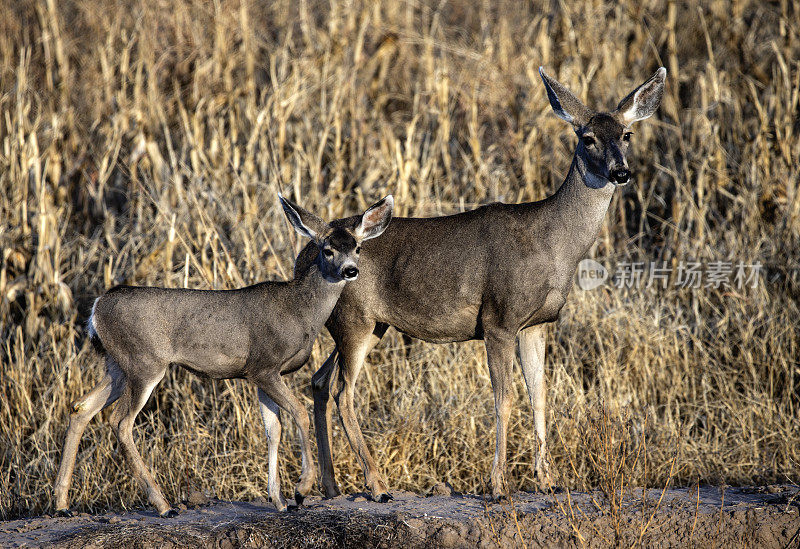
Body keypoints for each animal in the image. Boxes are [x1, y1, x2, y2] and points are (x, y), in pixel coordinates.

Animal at [51, 193, 392, 512]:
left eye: (357, 248)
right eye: (327, 249)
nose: (350, 271)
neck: (300, 311)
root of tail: (97, 308)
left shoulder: (260, 375)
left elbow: (273, 430)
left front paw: (279, 500)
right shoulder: (264, 366)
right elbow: (299, 413)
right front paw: (300, 491)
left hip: (118, 365)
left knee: (81, 406)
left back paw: (62, 504)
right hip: (144, 363)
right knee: (121, 423)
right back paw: (163, 505)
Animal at [298, 66, 664, 498]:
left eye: (627, 134)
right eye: (587, 138)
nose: (620, 172)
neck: (554, 244)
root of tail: (304, 254)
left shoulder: (537, 323)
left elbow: (540, 396)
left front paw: (549, 481)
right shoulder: (499, 317)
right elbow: (503, 399)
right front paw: (498, 485)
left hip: (369, 324)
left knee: (320, 382)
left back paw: (330, 487)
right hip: (354, 320)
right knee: (344, 393)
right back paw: (376, 485)